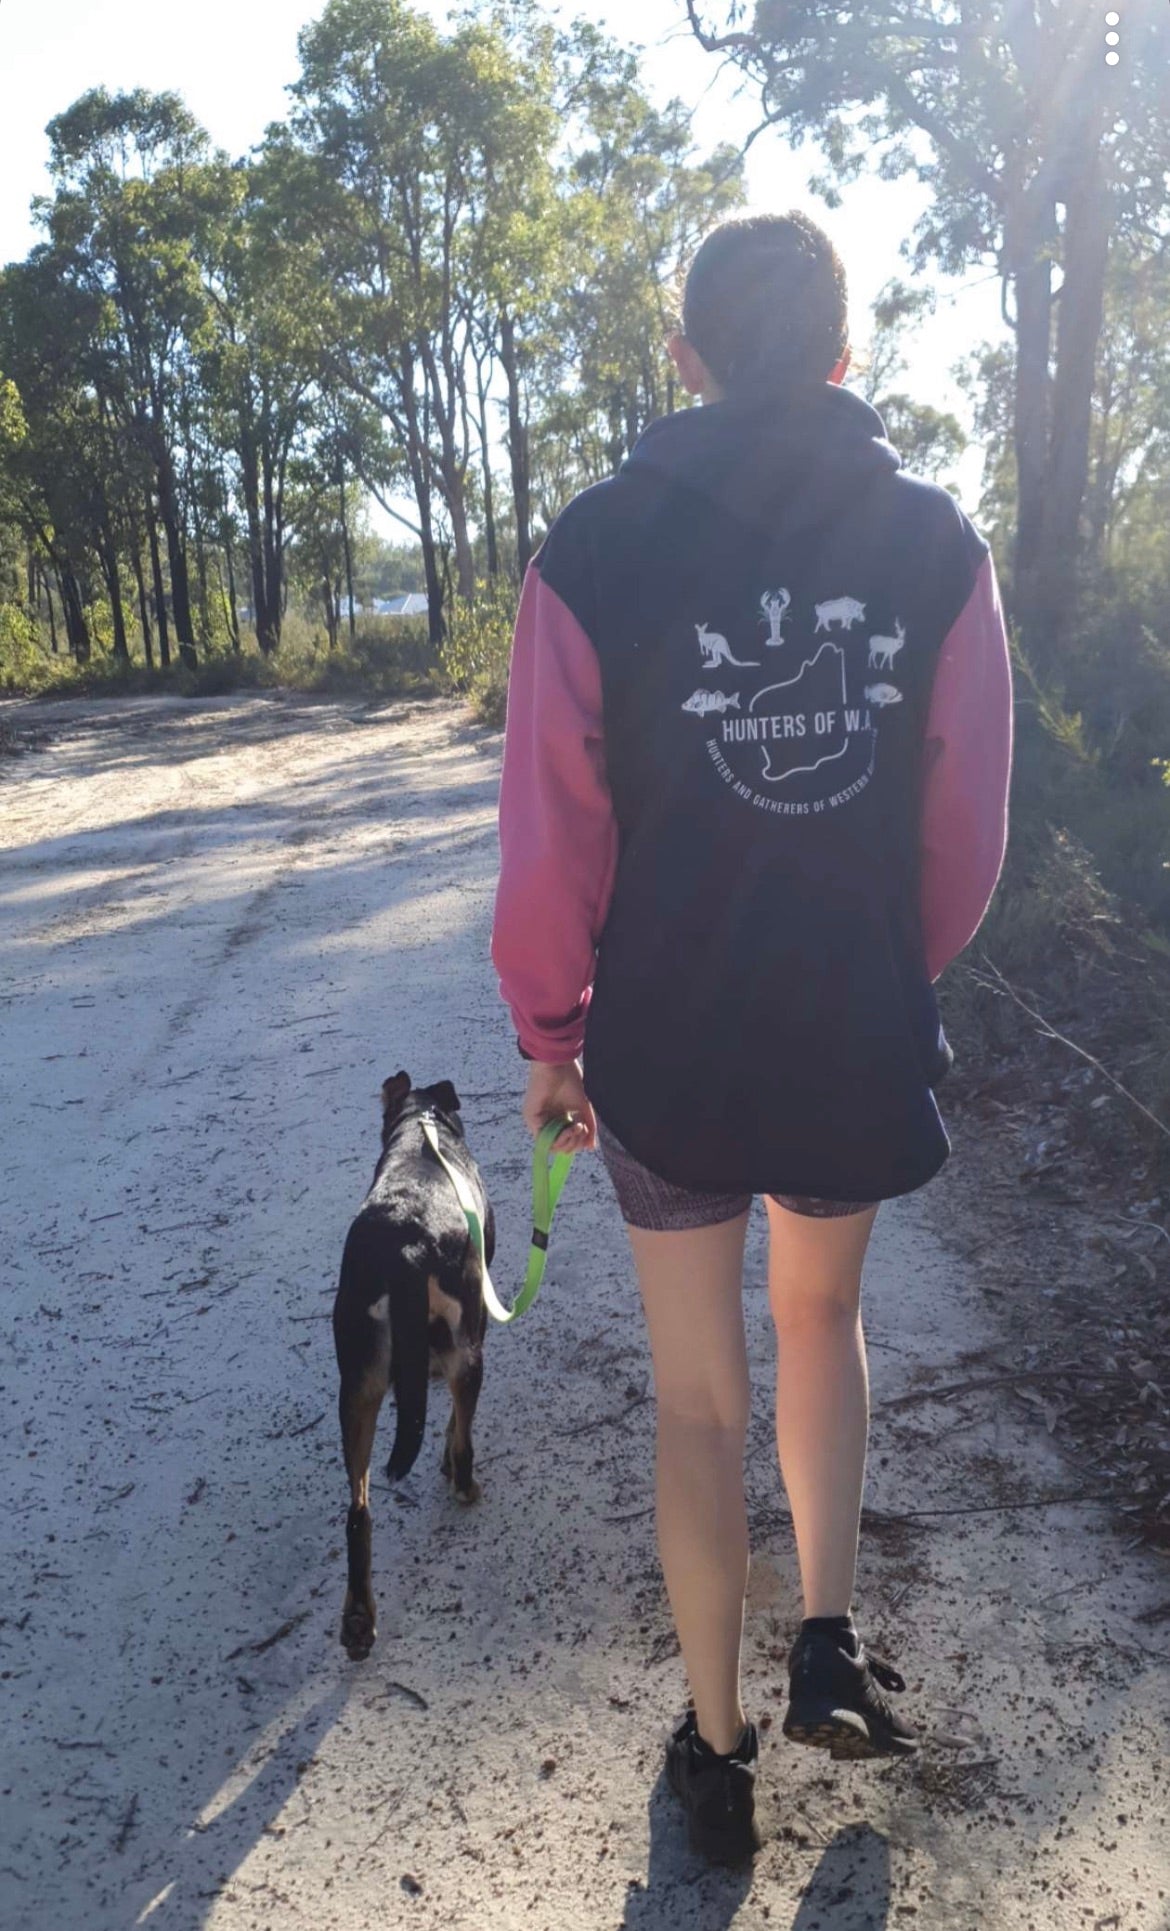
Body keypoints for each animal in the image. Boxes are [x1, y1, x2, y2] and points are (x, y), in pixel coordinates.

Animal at [334, 1073, 494, 1660]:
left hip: (355, 1389)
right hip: (469, 1353)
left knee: (358, 1512)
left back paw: (359, 1621)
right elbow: (452, 1425)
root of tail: (405, 1245)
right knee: (463, 1438)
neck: (420, 1126)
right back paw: (464, 1484)